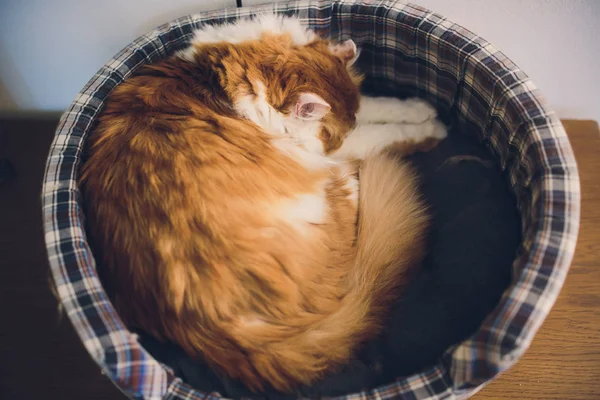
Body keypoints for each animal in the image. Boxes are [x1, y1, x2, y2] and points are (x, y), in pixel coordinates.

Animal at [78, 14, 446, 392]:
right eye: (336, 136)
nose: (341, 138)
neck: (238, 77)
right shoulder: (335, 148)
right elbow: (388, 133)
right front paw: (434, 128)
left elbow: (382, 105)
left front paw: (421, 109)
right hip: (330, 185)